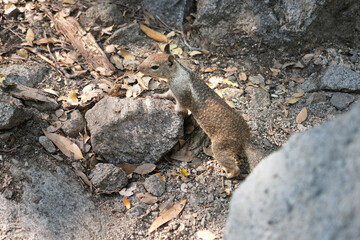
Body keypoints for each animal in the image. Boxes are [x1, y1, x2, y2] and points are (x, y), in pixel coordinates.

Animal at [139, 45, 262, 177]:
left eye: (154, 67)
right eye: (148, 57)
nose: (138, 68)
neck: (179, 72)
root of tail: (245, 138)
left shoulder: (181, 95)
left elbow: (180, 108)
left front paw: (171, 107)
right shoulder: (174, 89)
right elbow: (167, 94)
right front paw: (158, 96)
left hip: (221, 147)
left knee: (235, 168)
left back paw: (227, 174)